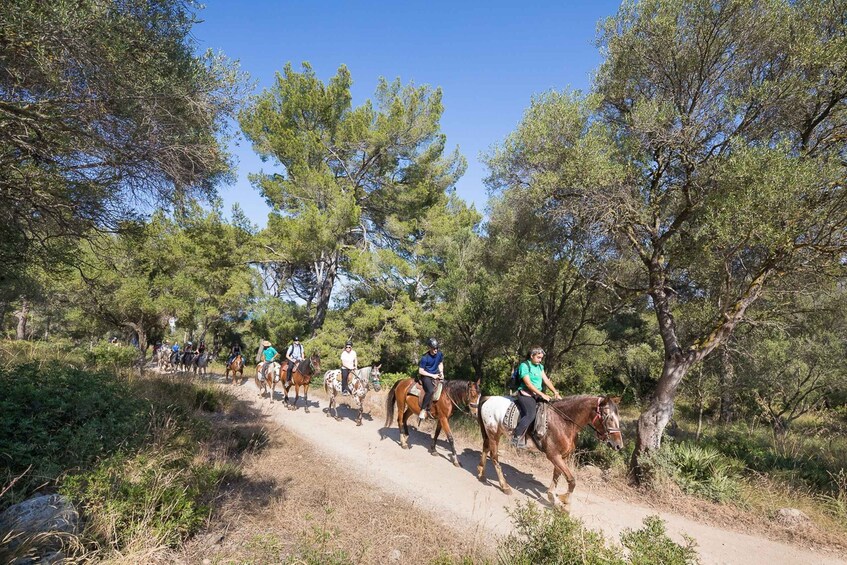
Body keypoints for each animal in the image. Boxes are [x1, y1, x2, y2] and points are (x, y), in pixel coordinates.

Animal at [476, 394, 624, 512]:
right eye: (608, 417)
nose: (619, 445)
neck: (563, 422)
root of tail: (489, 398)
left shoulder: (562, 456)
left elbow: (557, 475)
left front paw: (554, 496)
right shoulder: (553, 455)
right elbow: (571, 480)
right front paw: (564, 503)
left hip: (493, 434)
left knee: (485, 448)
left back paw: (481, 473)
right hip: (494, 434)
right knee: (494, 457)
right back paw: (504, 486)